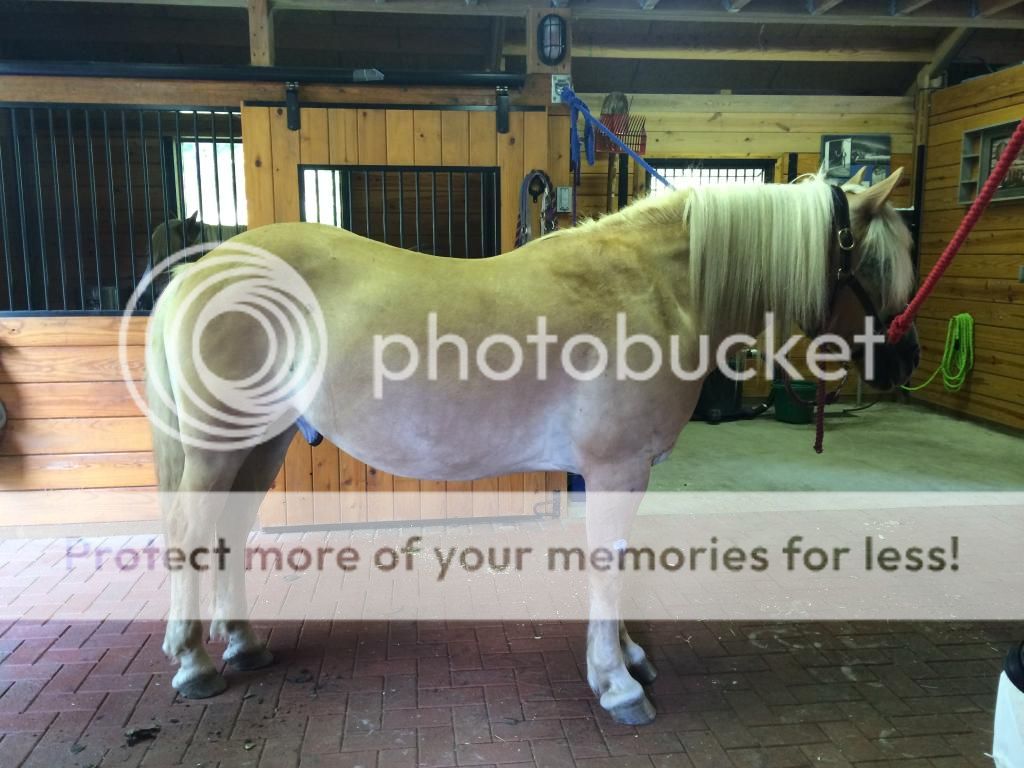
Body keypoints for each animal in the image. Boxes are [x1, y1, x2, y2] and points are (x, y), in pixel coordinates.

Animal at [145, 169, 920, 725]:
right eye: (874, 263)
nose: (904, 361)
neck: (656, 290)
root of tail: (198, 269)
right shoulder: (615, 469)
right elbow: (608, 568)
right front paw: (616, 683)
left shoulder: (623, 472)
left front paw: (629, 657)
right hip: (218, 445)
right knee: (189, 533)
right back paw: (194, 665)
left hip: (262, 442)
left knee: (228, 533)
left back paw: (244, 644)